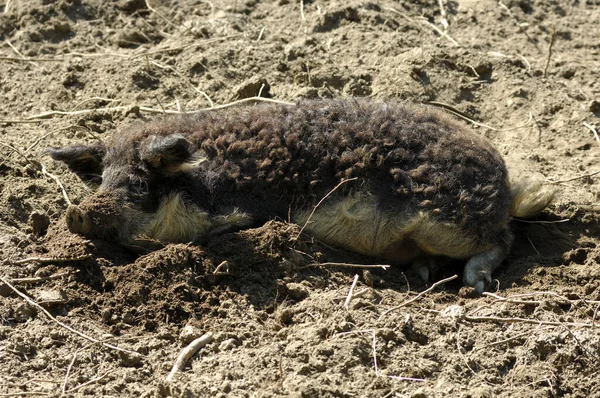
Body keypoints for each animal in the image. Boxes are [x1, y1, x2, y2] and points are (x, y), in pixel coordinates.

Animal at [45, 98, 552, 292]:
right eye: (103, 179)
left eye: (139, 184)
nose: (77, 212)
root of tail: (503, 187)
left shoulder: (234, 213)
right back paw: (423, 271)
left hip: (447, 219)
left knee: (502, 241)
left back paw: (473, 284)